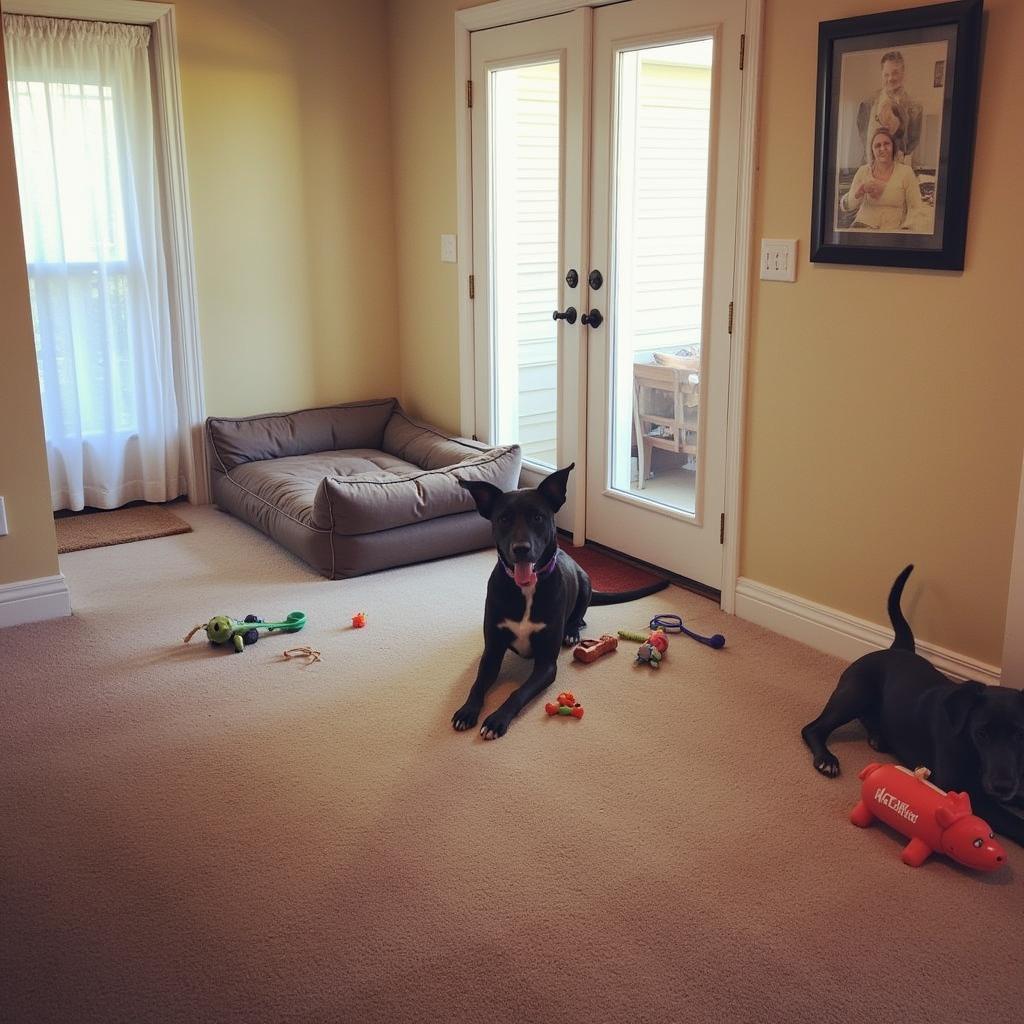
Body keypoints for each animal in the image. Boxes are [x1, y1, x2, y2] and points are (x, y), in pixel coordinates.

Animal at [458, 462, 667, 737]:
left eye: (538, 517)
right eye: (503, 519)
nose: (521, 548)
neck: (527, 590)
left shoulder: (547, 664)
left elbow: (518, 692)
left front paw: (497, 719)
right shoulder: (492, 652)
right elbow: (477, 683)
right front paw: (467, 710)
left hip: (586, 581)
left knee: (579, 616)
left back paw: (572, 632)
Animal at [798, 565, 1024, 843]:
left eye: (1020, 735)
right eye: (981, 733)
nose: (1003, 786)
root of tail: (897, 648)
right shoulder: (962, 789)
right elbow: (1016, 823)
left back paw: (878, 737)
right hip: (855, 693)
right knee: (813, 728)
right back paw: (826, 758)